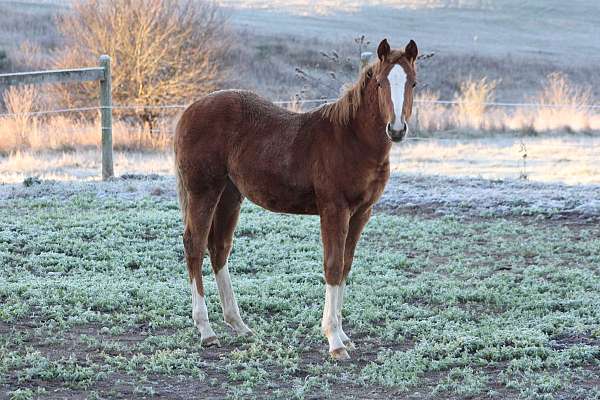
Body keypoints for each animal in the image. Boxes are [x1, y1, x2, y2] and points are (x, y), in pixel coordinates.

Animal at [173, 39, 418, 360]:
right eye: (380, 82)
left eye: (413, 83)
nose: (397, 129)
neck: (351, 139)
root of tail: (189, 111)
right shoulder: (334, 209)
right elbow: (333, 266)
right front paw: (334, 341)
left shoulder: (361, 213)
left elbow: (346, 266)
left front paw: (344, 335)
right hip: (203, 191)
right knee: (195, 245)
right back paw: (206, 330)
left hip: (229, 195)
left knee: (218, 249)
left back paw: (238, 324)